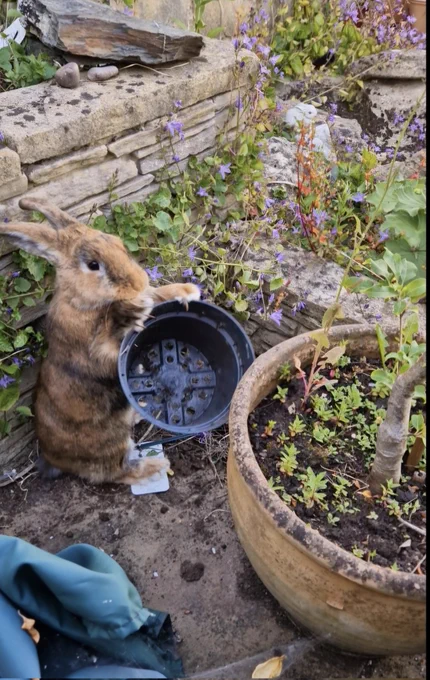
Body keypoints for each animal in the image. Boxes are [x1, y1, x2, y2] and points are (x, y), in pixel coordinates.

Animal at [0, 198, 200, 485]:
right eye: (93, 265)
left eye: (118, 244)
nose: (138, 281)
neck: (84, 303)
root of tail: (52, 459)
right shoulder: (96, 354)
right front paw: (128, 313)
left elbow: (155, 295)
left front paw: (187, 292)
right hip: (111, 443)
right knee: (119, 471)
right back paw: (156, 465)